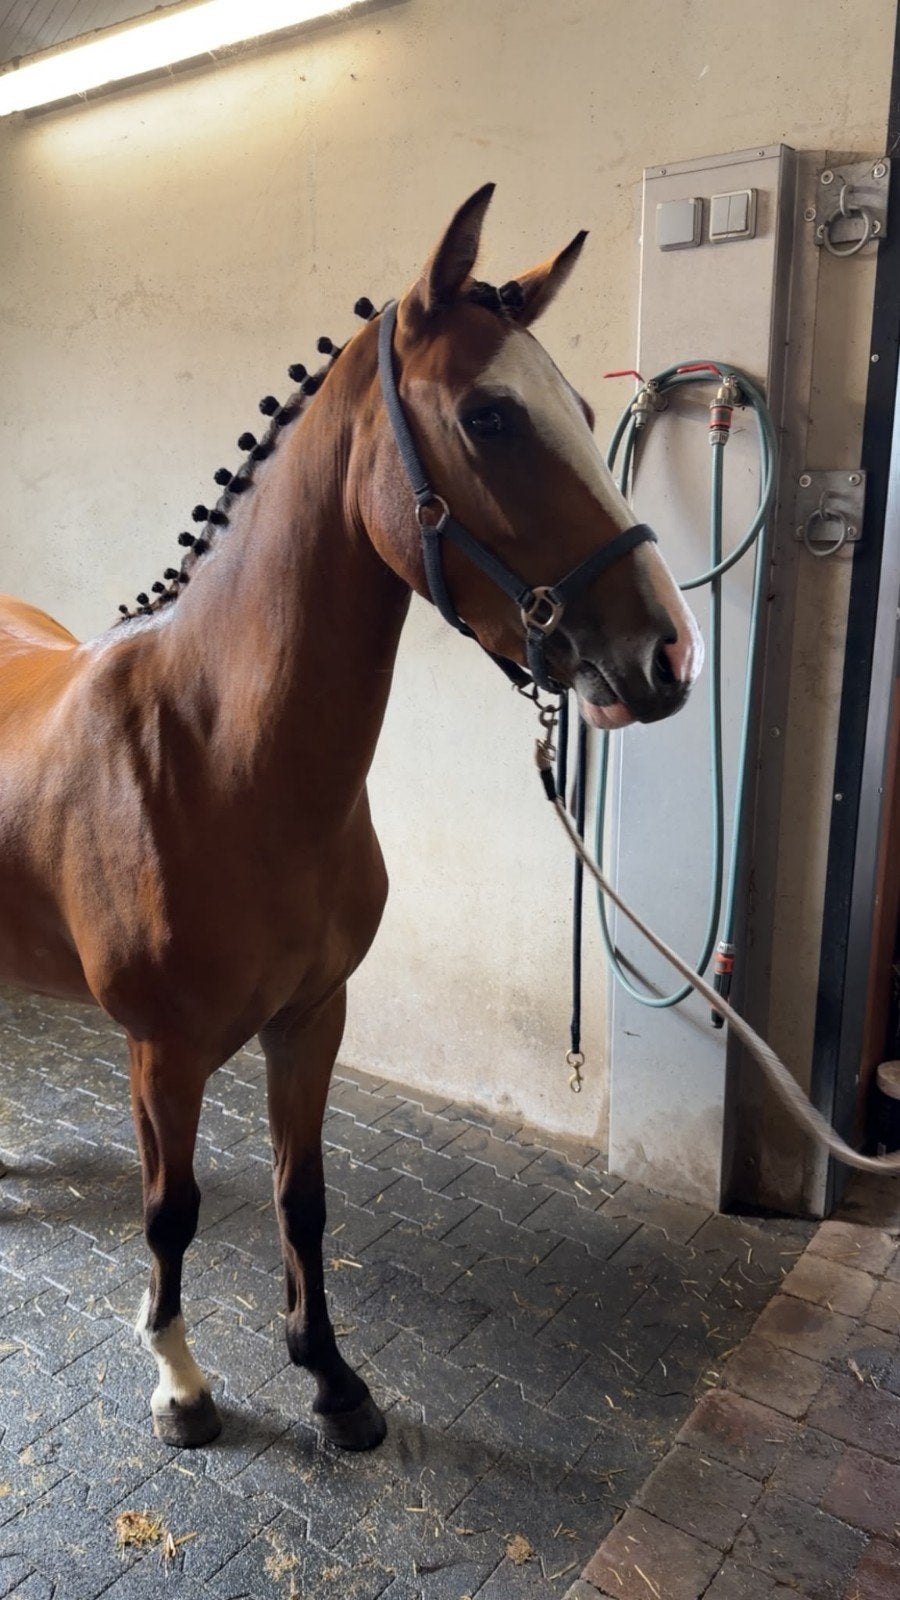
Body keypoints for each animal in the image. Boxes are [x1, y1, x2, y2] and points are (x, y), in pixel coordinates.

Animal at [0, 185, 701, 1453]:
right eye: (489, 416)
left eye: (583, 411)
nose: (669, 656)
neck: (225, 762)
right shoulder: (161, 1053)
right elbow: (169, 1213)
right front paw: (181, 1383)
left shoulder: (312, 1018)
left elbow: (304, 1196)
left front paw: (330, 1375)